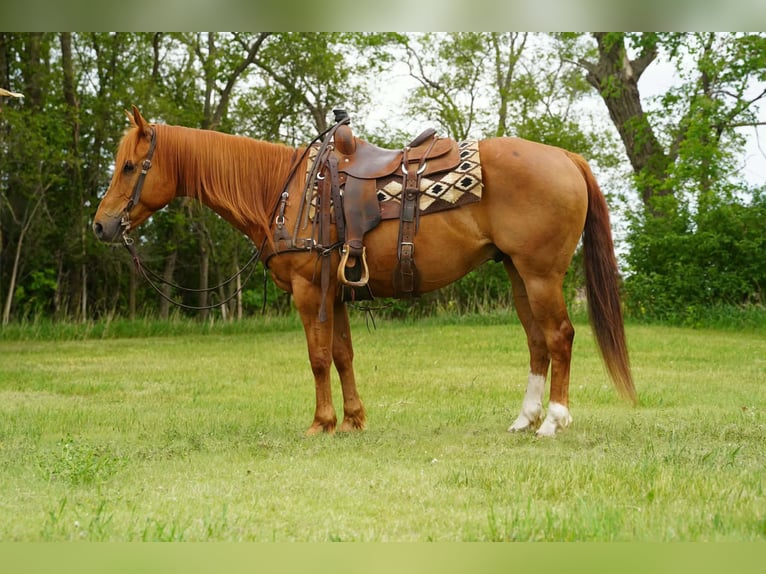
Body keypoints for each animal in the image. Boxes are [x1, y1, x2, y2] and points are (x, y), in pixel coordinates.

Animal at [93, 106, 636, 437]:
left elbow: (317, 358)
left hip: (541, 274)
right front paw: (353, 419)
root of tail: (565, 156)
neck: (285, 192)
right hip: (519, 275)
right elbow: (343, 355)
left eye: (129, 166)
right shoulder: (334, 292)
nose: (101, 224)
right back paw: (525, 418)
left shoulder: (308, 291)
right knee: (537, 342)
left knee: (560, 336)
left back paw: (554, 420)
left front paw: (321, 422)